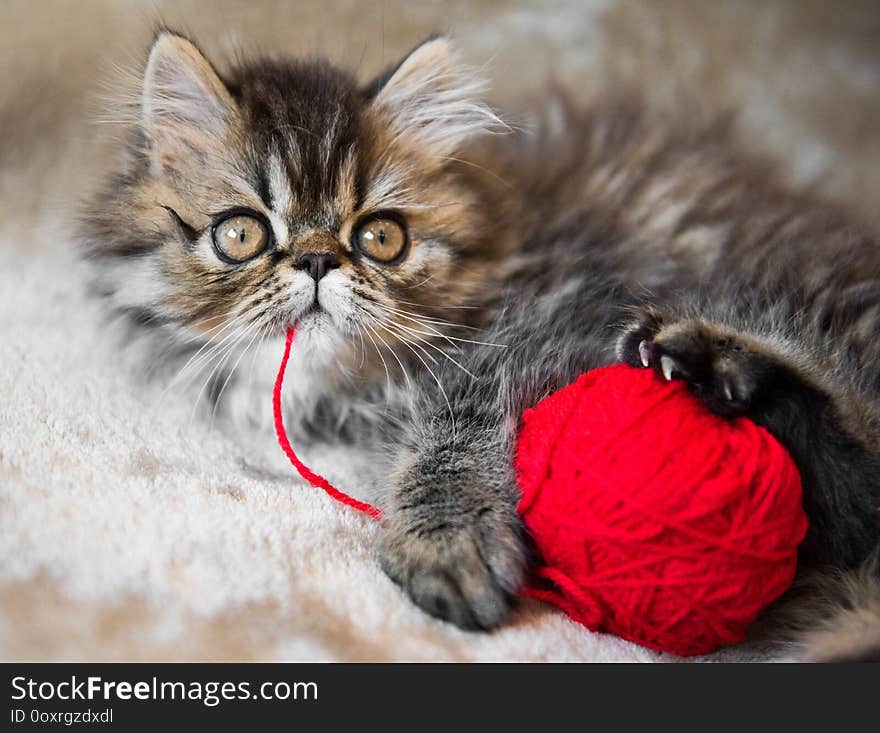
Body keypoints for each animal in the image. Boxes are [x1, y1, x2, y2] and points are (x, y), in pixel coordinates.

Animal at [82, 30, 880, 656]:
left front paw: (446, 539)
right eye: (243, 233)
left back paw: (709, 364)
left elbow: (457, 428)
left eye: (380, 238)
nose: (314, 259)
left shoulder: (565, 324)